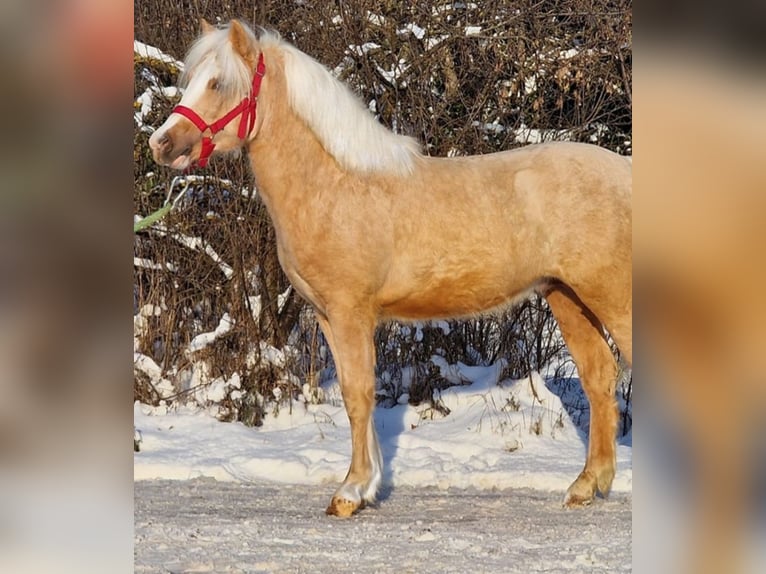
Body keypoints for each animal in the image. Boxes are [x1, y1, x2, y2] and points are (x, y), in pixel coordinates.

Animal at [148, 19, 632, 518]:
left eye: (219, 84)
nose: (160, 143)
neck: (334, 184)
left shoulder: (351, 312)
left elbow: (360, 395)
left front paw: (350, 492)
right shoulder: (328, 316)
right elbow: (350, 394)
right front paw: (367, 485)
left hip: (613, 299)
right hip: (567, 297)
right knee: (600, 378)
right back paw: (585, 486)